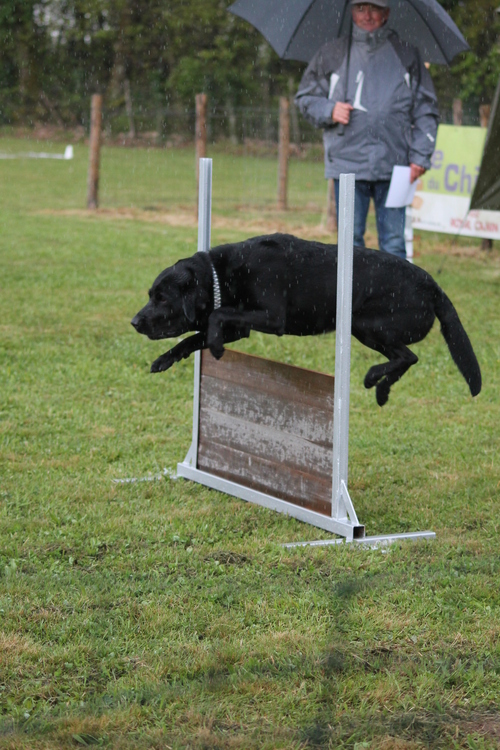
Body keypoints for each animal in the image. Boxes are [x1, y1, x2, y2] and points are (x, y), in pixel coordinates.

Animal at [131, 235, 482, 412]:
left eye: (162, 298)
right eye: (150, 295)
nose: (134, 322)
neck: (222, 274)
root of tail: (433, 285)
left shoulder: (272, 317)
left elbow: (215, 320)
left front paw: (215, 348)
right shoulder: (240, 328)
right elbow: (193, 337)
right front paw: (164, 360)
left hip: (368, 325)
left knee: (408, 356)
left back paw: (374, 380)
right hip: (366, 329)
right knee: (407, 358)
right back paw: (382, 391)